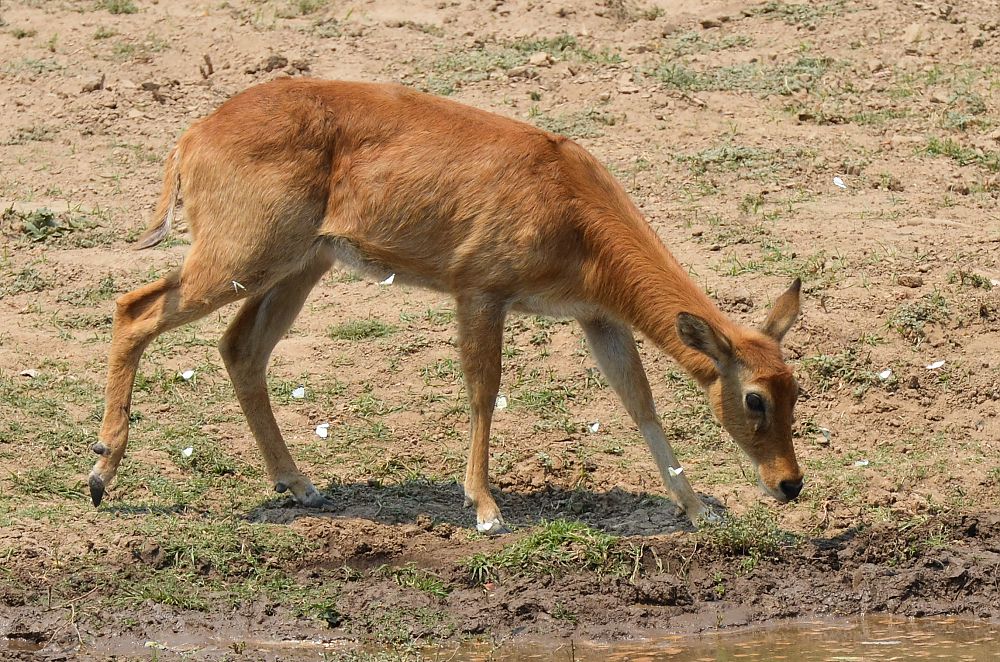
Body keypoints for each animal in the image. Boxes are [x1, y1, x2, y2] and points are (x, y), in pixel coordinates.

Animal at [86, 79, 804, 536]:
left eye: (795, 390)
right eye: (754, 399)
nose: (789, 484)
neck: (570, 202)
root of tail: (194, 135)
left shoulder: (596, 316)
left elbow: (640, 404)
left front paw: (697, 508)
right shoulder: (480, 292)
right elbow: (484, 391)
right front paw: (486, 509)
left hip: (298, 267)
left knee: (240, 348)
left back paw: (299, 483)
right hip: (240, 260)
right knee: (133, 308)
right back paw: (99, 476)